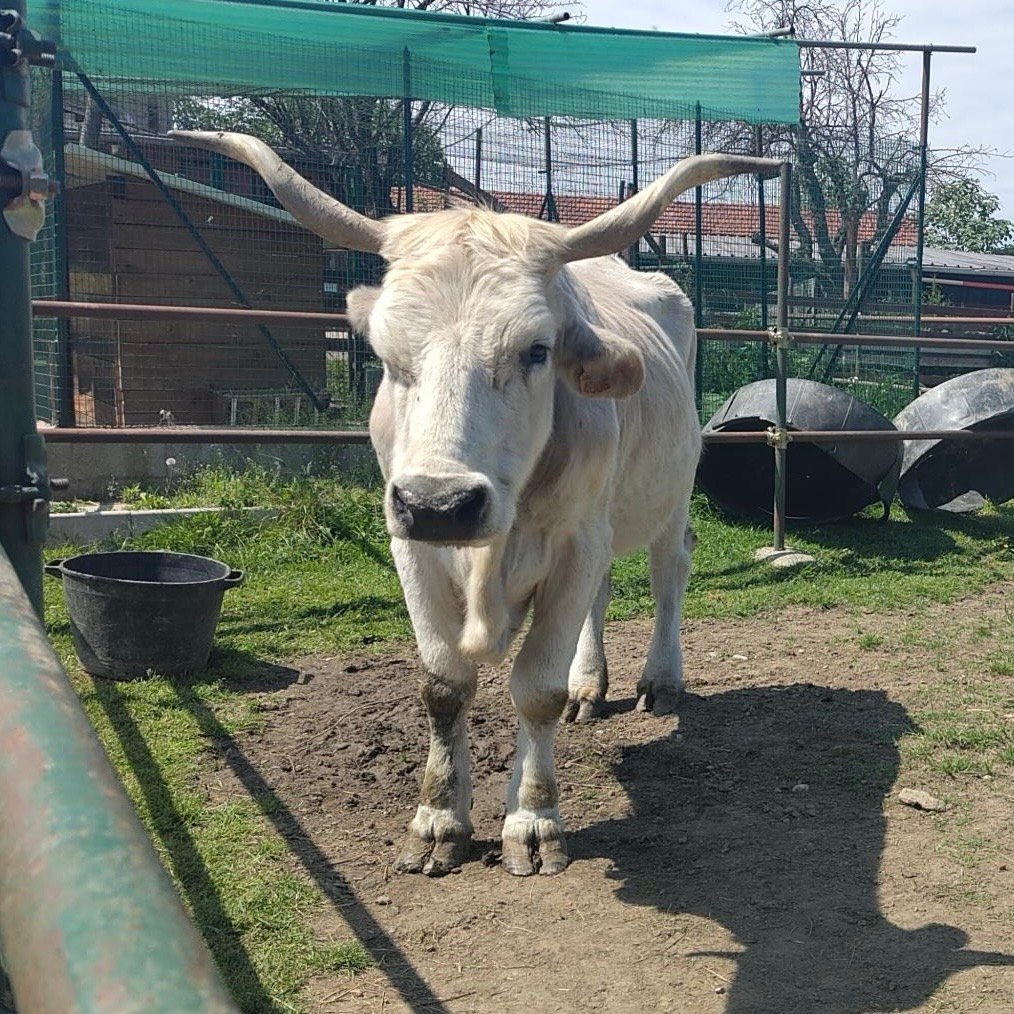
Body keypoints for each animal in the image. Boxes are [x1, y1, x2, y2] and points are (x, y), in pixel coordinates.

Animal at [170, 131, 775, 877]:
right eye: (384, 354)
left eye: (537, 350)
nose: (440, 504)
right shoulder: (414, 548)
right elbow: (444, 685)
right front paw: (437, 820)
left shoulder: (573, 541)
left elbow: (535, 689)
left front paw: (534, 819)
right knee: (602, 596)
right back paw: (589, 686)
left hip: (667, 495)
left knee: (669, 574)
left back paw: (659, 680)